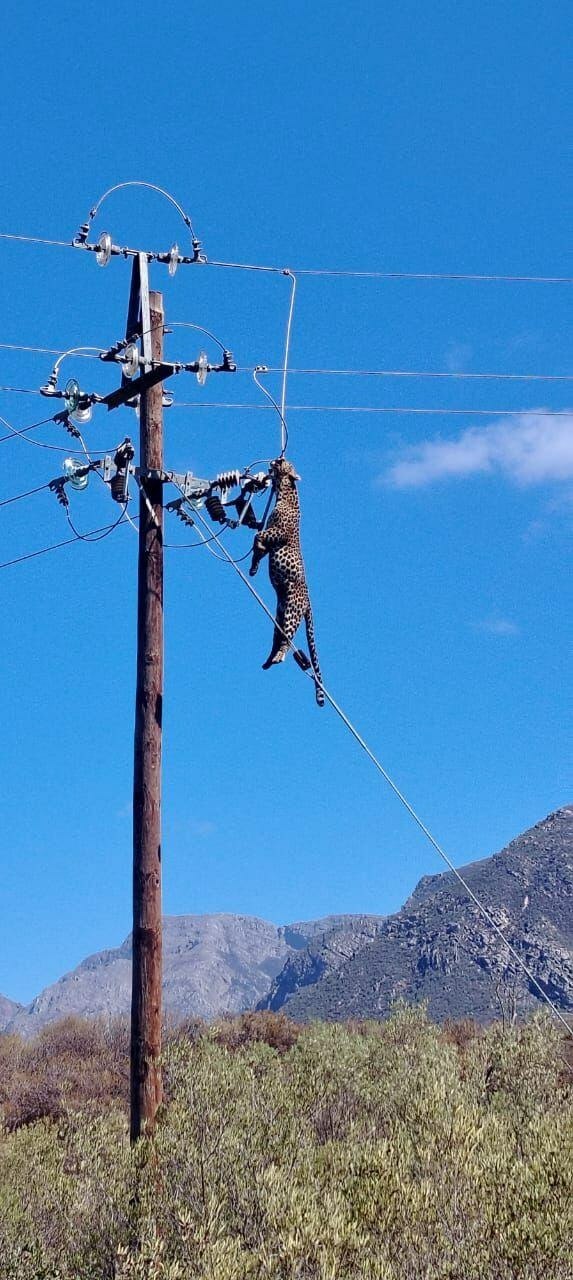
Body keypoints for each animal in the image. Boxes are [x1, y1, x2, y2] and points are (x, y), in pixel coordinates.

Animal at [249, 457, 325, 707]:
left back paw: (279, 657)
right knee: (278, 638)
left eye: (286, 463)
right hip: (280, 616)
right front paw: (253, 567)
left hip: (292, 612)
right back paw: (268, 660)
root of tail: (309, 602)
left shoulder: (277, 533)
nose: (277, 460)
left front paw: (256, 553)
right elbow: (259, 547)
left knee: (286, 640)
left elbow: (259, 537)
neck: (286, 493)